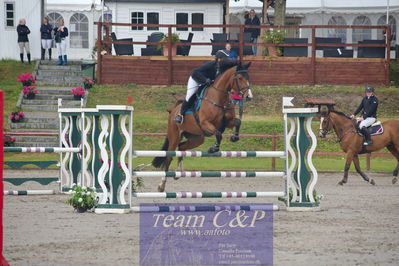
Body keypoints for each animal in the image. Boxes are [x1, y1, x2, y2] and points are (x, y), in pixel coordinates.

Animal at [152, 61, 252, 191]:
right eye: (239, 78)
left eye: (248, 78)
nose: (248, 96)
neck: (219, 98)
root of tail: (173, 110)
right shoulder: (206, 123)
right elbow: (218, 134)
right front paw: (213, 149)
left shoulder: (228, 122)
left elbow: (237, 122)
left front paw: (235, 137)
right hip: (174, 136)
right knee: (169, 157)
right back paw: (161, 185)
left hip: (197, 138)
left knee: (182, 147)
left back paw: (178, 173)